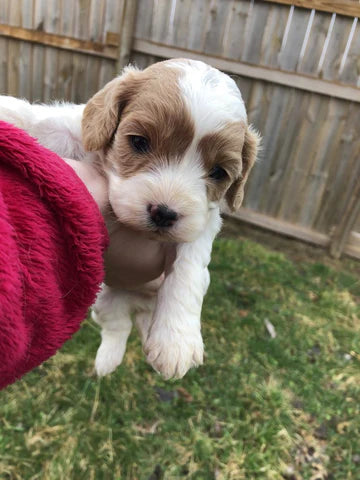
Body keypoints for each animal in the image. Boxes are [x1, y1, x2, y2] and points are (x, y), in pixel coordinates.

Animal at [0, 58, 260, 378]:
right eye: (139, 142)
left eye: (218, 172)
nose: (164, 213)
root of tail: (136, 303)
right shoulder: (72, 134)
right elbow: (39, 121)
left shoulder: (202, 223)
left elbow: (188, 269)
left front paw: (176, 341)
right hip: (102, 299)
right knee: (118, 327)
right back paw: (107, 361)